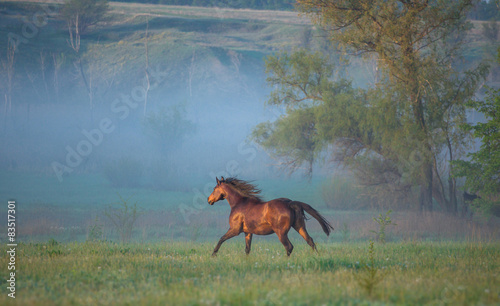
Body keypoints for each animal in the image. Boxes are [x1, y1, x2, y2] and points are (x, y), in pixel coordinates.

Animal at [205, 176, 334, 256]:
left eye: (214, 188)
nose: (209, 200)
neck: (239, 203)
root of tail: (290, 203)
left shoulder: (235, 230)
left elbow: (221, 239)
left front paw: (213, 255)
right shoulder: (248, 232)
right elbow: (247, 249)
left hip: (281, 232)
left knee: (289, 247)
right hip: (299, 227)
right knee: (310, 241)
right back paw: (317, 256)